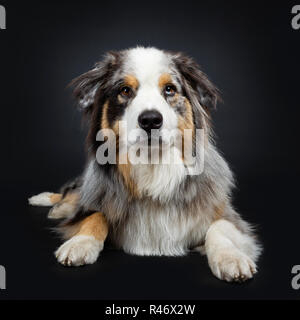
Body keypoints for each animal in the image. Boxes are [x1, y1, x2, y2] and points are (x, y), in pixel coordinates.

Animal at [29, 46, 262, 282]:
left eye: (169, 89)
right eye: (124, 90)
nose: (150, 120)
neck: (152, 166)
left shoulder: (225, 213)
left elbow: (219, 227)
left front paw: (231, 258)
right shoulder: (94, 202)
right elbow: (95, 216)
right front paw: (80, 243)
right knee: (70, 194)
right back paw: (47, 201)